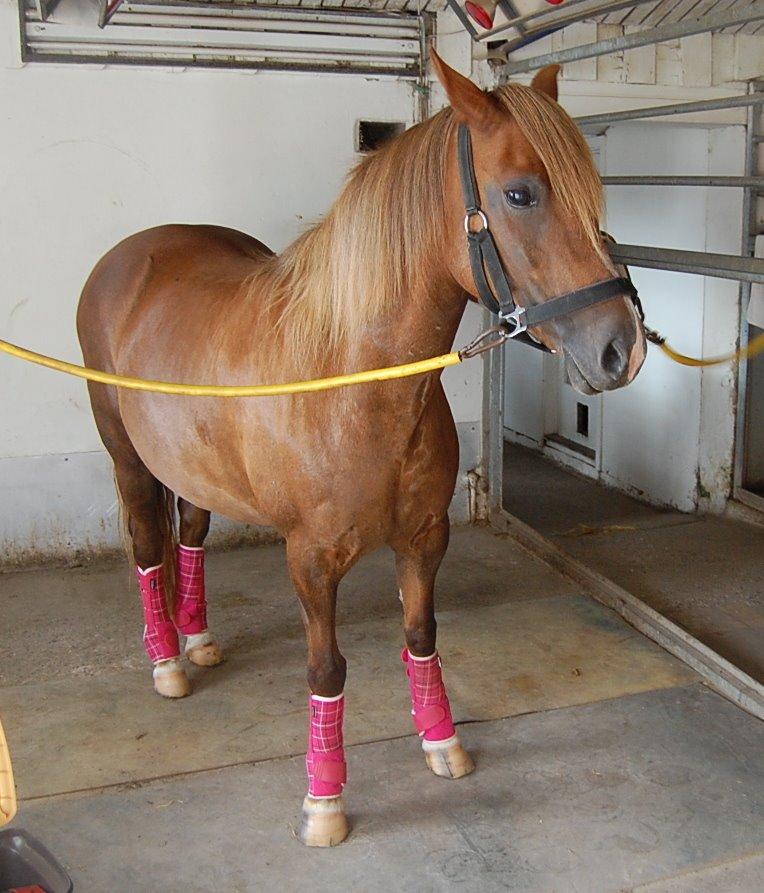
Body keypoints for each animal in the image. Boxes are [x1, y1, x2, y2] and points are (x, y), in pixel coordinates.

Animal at [76, 52, 646, 847]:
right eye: (520, 193)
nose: (623, 348)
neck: (354, 380)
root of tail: (129, 257)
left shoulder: (424, 539)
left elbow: (421, 633)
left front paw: (441, 740)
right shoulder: (311, 560)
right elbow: (327, 669)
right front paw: (324, 801)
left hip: (188, 464)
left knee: (189, 532)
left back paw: (198, 638)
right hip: (127, 457)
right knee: (146, 542)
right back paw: (167, 661)